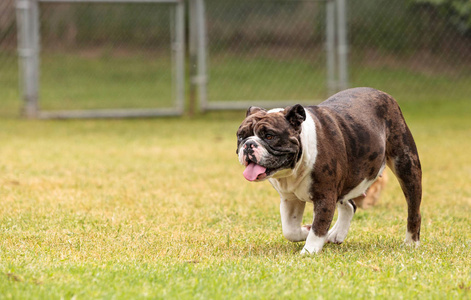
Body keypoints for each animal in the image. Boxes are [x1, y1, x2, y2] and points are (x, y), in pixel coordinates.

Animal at [238, 88, 422, 254]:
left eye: (269, 136)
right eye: (240, 136)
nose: (248, 144)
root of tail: (383, 94)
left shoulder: (325, 196)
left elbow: (318, 227)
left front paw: (309, 251)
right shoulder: (290, 198)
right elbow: (290, 230)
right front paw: (306, 230)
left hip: (407, 166)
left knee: (413, 210)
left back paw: (411, 243)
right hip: (345, 181)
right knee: (350, 205)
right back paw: (336, 234)